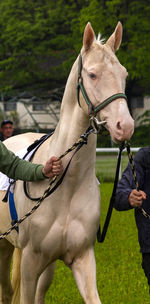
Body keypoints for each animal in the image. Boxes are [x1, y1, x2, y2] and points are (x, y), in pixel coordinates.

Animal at [0, 22, 134, 304]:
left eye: (124, 74)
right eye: (92, 75)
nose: (125, 126)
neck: (66, 188)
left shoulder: (82, 258)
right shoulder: (30, 262)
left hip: (47, 266)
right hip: (4, 246)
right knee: (6, 291)